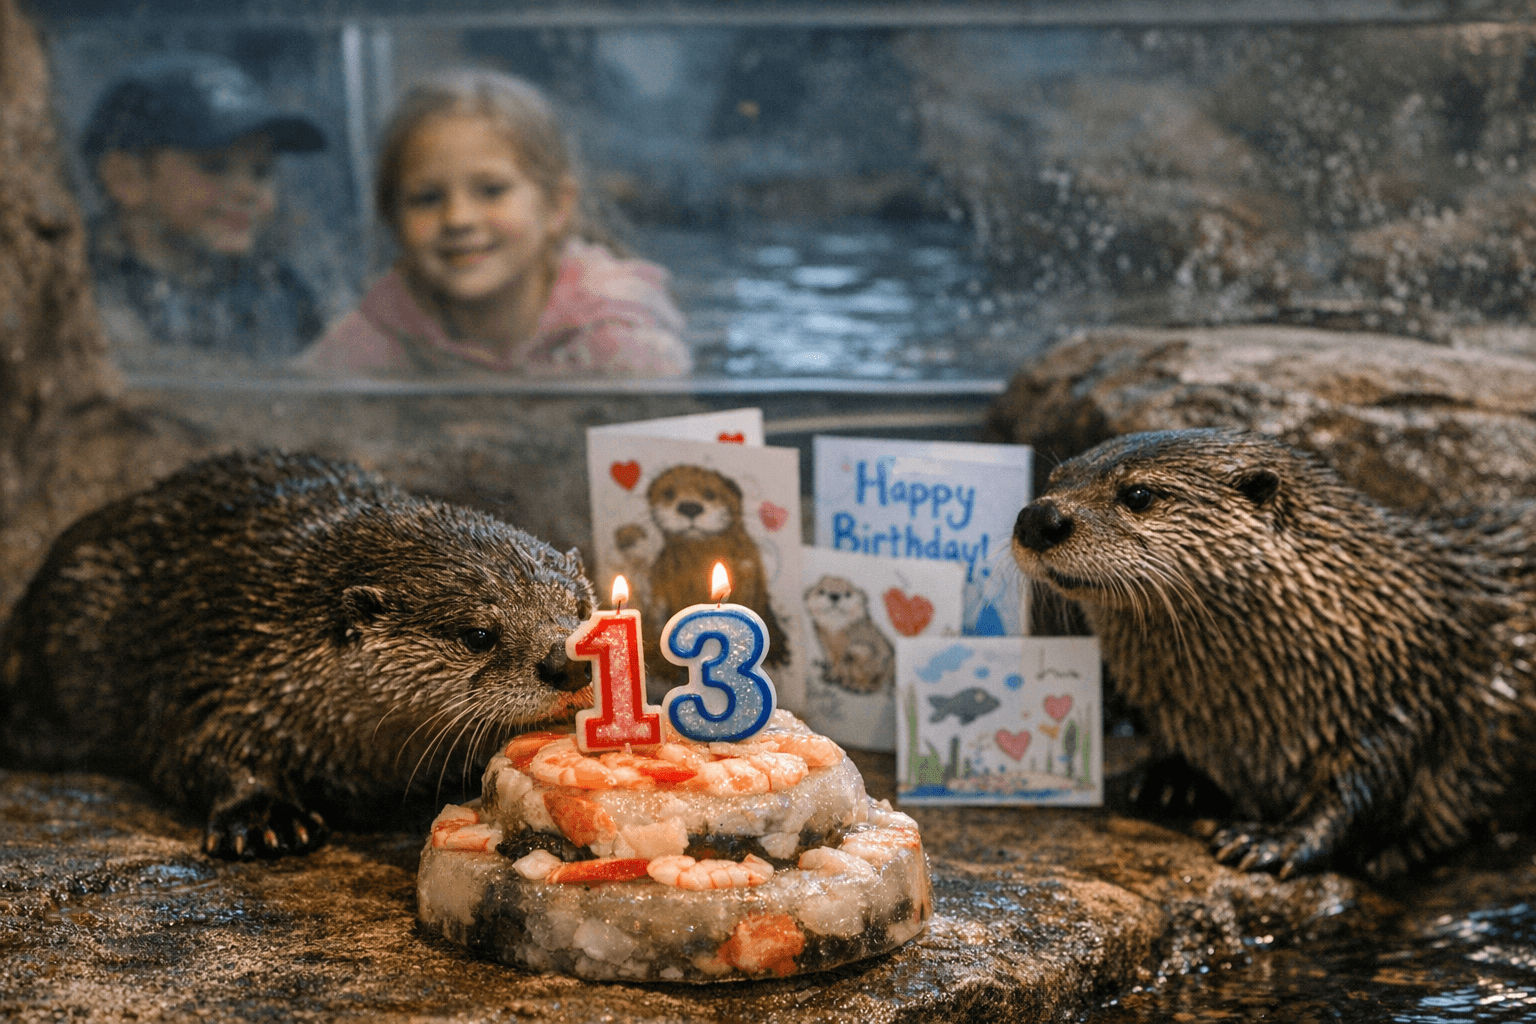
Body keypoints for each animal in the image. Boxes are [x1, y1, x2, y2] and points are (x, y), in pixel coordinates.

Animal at [0, 451, 594, 860]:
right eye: (478, 635)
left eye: (584, 611)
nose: (566, 662)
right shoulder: (215, 670)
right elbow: (197, 746)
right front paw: (265, 819)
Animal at [1012, 429, 1536, 878]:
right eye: (1054, 479)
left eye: (1137, 495)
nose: (1039, 518)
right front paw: (1169, 778)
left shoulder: (1407, 704)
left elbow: (1365, 794)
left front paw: (1273, 841)